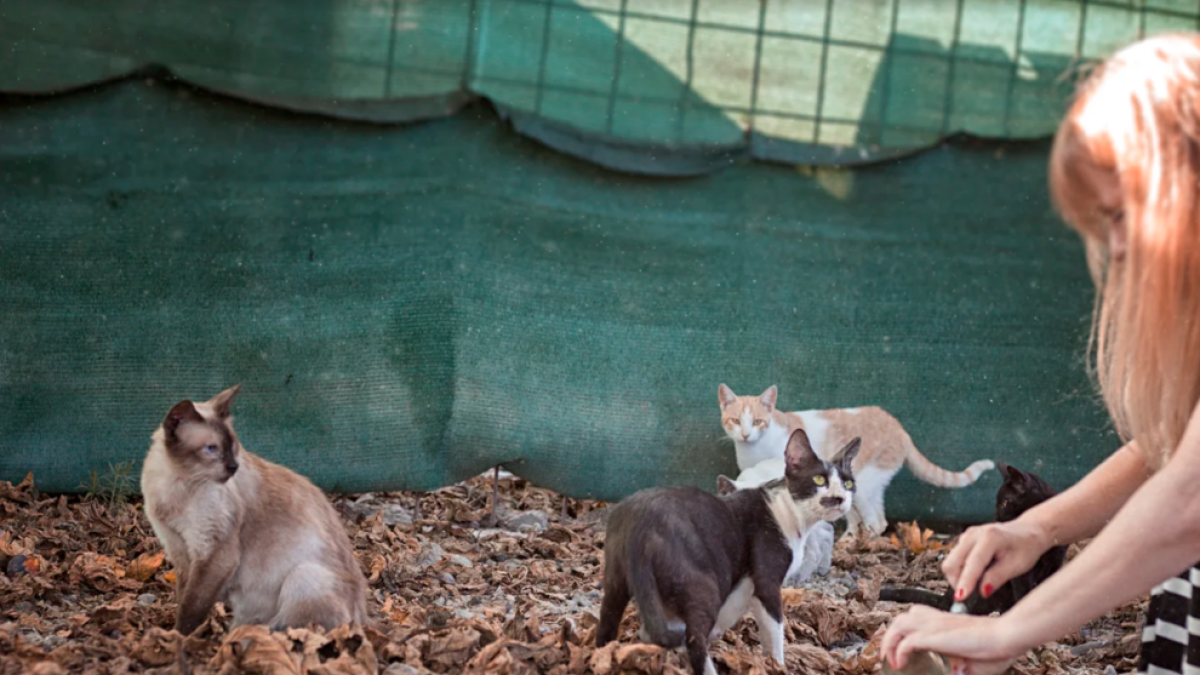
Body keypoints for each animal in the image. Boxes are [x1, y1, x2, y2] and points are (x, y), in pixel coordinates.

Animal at [595, 427, 859, 667]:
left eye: (848, 483)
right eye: (819, 479)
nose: (840, 498)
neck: (790, 513)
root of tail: (641, 523)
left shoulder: (748, 587)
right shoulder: (767, 581)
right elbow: (775, 633)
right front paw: (778, 666)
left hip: (616, 581)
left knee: (607, 625)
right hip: (705, 584)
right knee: (694, 639)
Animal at [720, 384, 993, 535]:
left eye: (757, 421)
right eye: (735, 421)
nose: (745, 434)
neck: (753, 450)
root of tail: (900, 429)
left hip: (864, 481)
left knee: (875, 521)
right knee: (872, 518)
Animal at [878, 458, 1065, 612]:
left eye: (1005, 502)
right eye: (997, 502)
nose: (995, 517)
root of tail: (945, 598)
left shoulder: (1055, 562)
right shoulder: (1020, 570)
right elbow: (1023, 592)